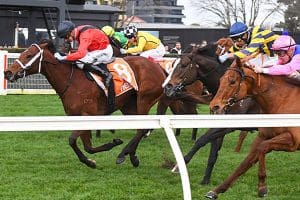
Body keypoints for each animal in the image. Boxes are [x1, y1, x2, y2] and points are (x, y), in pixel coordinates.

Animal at [3, 39, 165, 168]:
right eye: (23, 54)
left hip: (144, 99)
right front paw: (92, 160)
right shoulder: (77, 117)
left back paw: (123, 154)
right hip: (128, 105)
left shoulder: (88, 115)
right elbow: (87, 147)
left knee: (142, 128)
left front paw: (99, 154)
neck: (72, 81)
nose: (8, 72)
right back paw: (132, 156)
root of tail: (158, 67)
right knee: (140, 128)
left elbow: (72, 140)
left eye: (29, 55)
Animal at [163, 43, 258, 185]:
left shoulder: (230, 125)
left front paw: (178, 166)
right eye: (173, 64)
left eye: (184, 65)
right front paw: (205, 180)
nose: (167, 87)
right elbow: (213, 151)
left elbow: (201, 140)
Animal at [207, 57, 300, 199]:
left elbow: (262, 148)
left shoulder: (293, 141)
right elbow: (244, 164)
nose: (214, 106)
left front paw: (262, 187)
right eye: (221, 79)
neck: (282, 101)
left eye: (232, 81)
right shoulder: (263, 136)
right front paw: (216, 190)